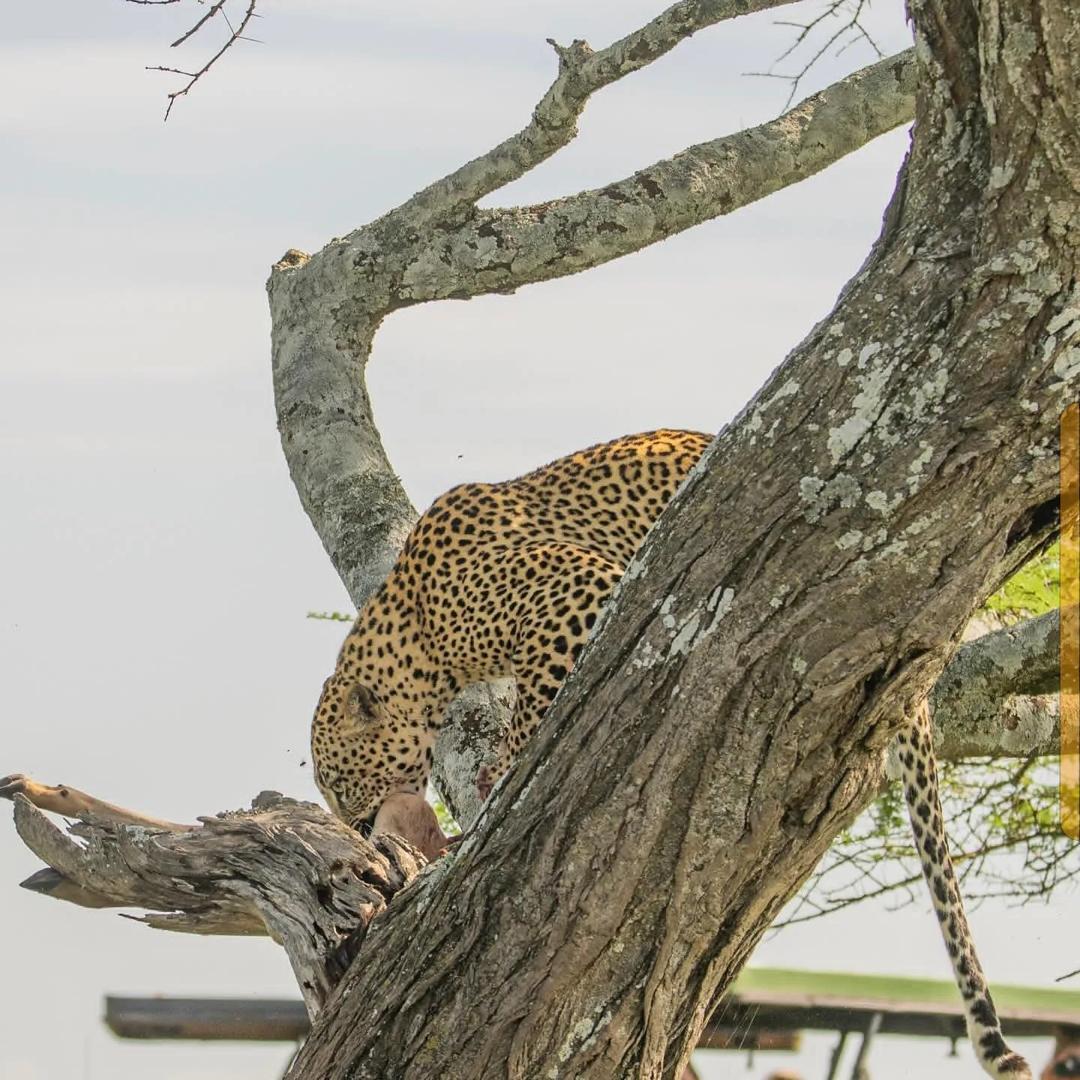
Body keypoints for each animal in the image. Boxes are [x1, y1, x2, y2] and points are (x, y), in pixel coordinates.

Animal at [310, 428, 1030, 1079]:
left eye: (339, 784)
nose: (353, 826)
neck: (416, 631)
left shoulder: (575, 589)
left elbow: (537, 702)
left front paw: (507, 765)